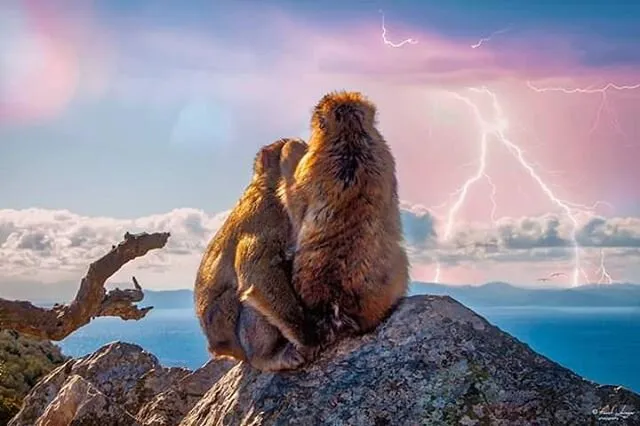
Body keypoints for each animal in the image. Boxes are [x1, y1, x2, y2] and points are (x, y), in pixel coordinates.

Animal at [194, 138, 319, 372]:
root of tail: (215, 347)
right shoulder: (270, 213)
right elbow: (257, 273)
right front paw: (306, 334)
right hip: (228, 329)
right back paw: (266, 356)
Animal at [279, 90, 410, 347]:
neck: (351, 134)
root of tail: (335, 303)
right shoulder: (385, 155)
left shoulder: (309, 166)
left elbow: (296, 206)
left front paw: (290, 148)